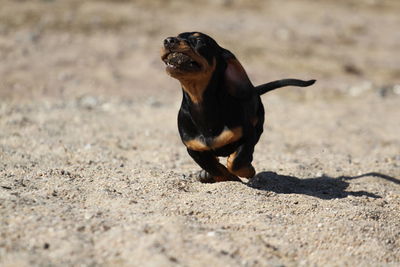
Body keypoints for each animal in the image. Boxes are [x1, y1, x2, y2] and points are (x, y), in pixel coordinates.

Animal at [160, 30, 316, 182]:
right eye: (178, 35)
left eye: (199, 41)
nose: (168, 40)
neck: (201, 103)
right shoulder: (194, 148)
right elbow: (215, 168)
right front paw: (216, 175)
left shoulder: (248, 135)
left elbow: (236, 162)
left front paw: (247, 171)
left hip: (258, 125)